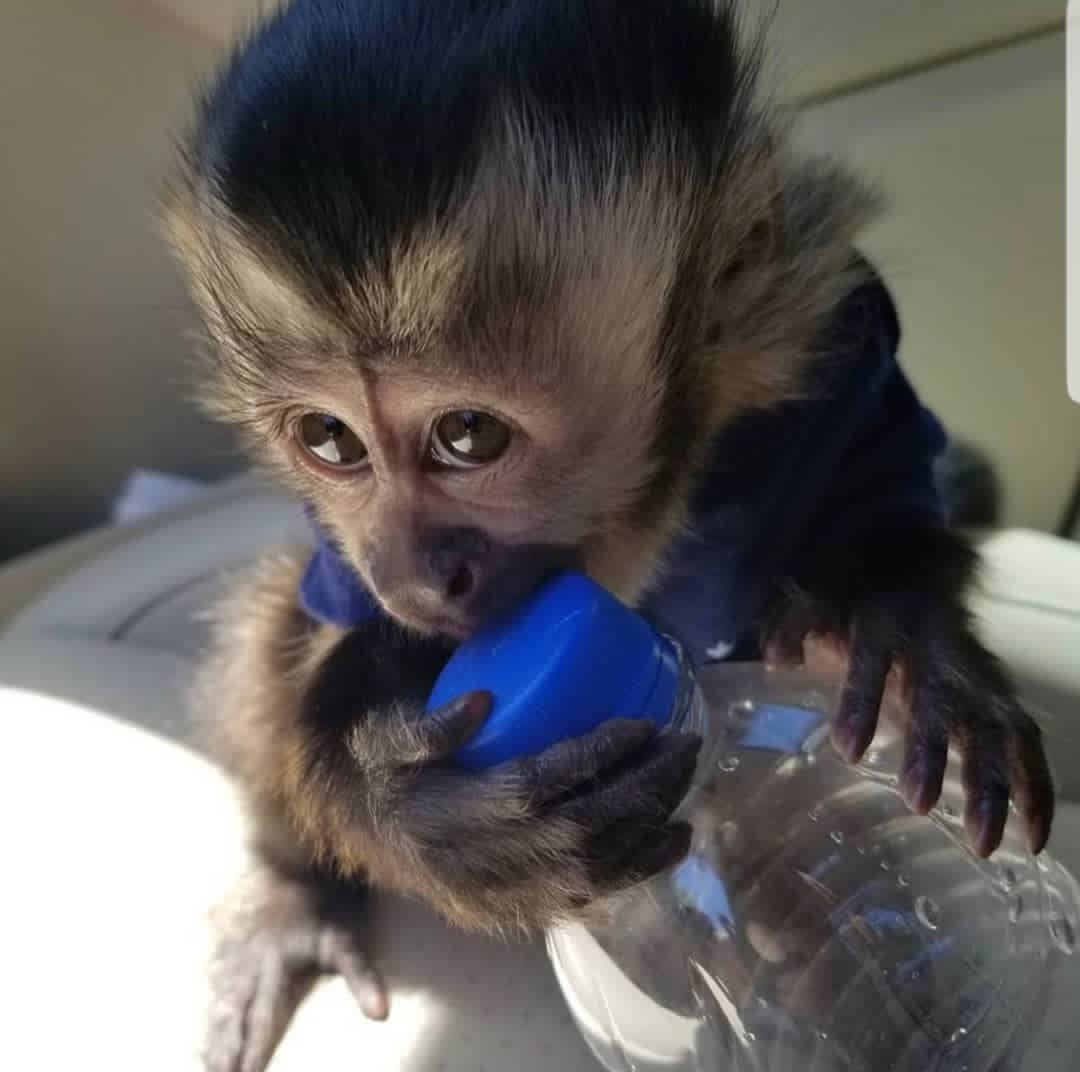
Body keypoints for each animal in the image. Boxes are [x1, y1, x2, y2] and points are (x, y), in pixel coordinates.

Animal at [162, 1, 1056, 1068]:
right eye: (328, 440)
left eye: (469, 435)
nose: (414, 573)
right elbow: (332, 636)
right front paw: (416, 814)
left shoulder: (827, 324)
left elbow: (879, 470)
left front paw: (905, 629)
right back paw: (300, 897)